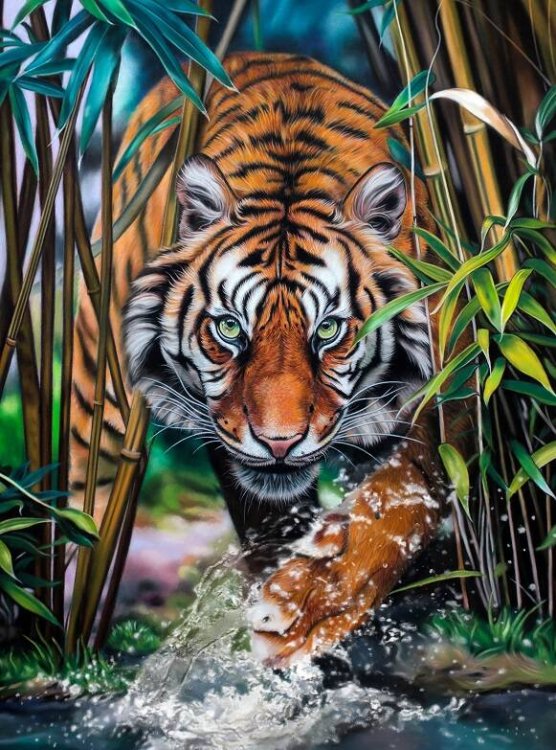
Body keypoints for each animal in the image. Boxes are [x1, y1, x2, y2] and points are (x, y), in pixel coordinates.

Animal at [70, 52, 472, 667]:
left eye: (328, 330)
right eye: (230, 328)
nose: (279, 443)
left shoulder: (448, 400)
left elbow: (400, 496)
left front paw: (304, 606)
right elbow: (269, 519)